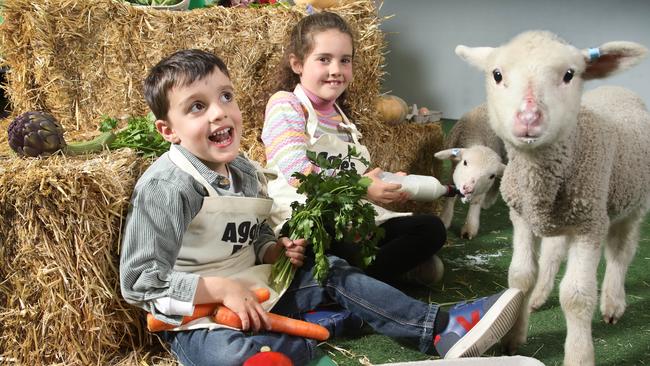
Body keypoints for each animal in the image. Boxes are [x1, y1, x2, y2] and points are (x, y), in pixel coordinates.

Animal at [432, 103, 508, 240]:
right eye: (465, 162)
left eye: (491, 176)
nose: (468, 188)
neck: (476, 134)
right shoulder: (454, 168)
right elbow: (450, 196)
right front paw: (445, 219)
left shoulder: (481, 188)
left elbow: (476, 202)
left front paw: (470, 228)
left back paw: (488, 200)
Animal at [456, 31, 648, 366]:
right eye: (497, 74)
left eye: (569, 74)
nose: (529, 117)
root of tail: (618, 87)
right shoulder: (522, 217)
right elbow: (520, 276)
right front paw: (514, 336)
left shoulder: (589, 224)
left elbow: (576, 296)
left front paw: (579, 356)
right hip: (561, 218)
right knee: (553, 253)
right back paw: (540, 295)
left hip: (632, 203)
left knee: (620, 253)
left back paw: (613, 303)